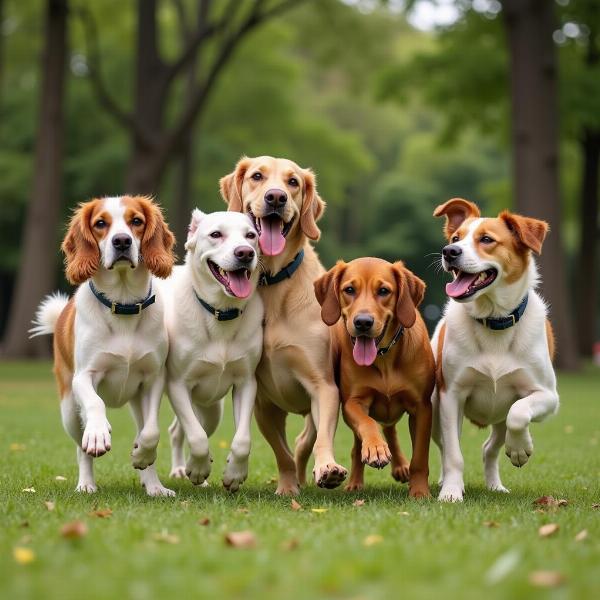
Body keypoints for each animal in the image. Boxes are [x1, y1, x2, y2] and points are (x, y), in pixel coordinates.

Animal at [29, 195, 176, 494]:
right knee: (80, 447)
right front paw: (98, 434)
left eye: (136, 221)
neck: (123, 303)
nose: (122, 241)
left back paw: (153, 485)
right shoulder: (84, 376)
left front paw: (141, 455)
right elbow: (95, 404)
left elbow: (151, 432)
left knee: (143, 432)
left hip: (135, 403)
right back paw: (86, 483)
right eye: (100, 223)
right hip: (69, 410)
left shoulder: (153, 379)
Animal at [162, 211, 262, 492]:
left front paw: (234, 474)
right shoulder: (178, 384)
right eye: (216, 234)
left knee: (180, 431)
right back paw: (183, 470)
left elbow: (242, 440)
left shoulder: (246, 382)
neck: (220, 312)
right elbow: (196, 438)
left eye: (251, 235)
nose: (245, 253)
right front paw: (197, 470)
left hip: (211, 409)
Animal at [220, 157, 346, 494]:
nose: (276, 197)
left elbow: (319, 440)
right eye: (257, 176)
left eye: (293, 182)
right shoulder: (263, 401)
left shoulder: (323, 386)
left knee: (305, 440)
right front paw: (287, 487)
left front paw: (327, 467)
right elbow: (281, 452)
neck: (272, 281)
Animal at [314, 258, 436, 496]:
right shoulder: (352, 402)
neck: (384, 357)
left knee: (390, 429)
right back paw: (355, 482)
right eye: (349, 290)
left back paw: (400, 466)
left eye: (383, 291)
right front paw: (376, 448)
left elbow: (420, 457)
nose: (363, 322)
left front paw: (419, 491)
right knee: (359, 445)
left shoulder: (422, 407)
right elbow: (367, 423)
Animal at [432, 198, 556, 502]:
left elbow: (519, 413)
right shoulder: (451, 396)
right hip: (434, 410)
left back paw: (495, 484)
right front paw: (451, 491)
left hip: (499, 418)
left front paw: (521, 448)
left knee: (491, 446)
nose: (449, 252)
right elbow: (453, 454)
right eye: (456, 238)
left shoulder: (548, 396)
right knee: (444, 446)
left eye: (486, 239)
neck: (493, 320)